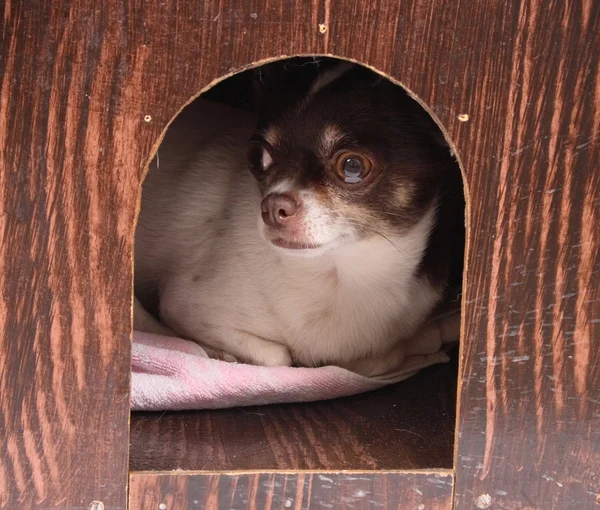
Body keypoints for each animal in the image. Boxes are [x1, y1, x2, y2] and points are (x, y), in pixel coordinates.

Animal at [136, 57, 464, 376]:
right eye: (257, 156)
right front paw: (220, 352)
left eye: (353, 166)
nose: (272, 207)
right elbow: (278, 357)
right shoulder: (184, 306)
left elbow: (383, 358)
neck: (343, 275)